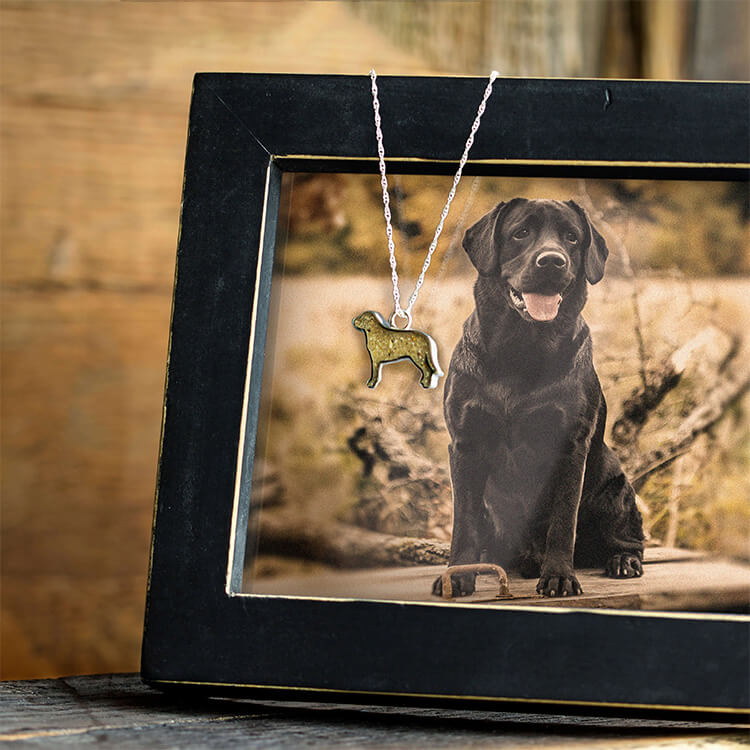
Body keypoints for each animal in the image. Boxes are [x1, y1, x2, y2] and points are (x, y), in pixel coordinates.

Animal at [434, 198, 648, 600]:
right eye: (520, 233)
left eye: (572, 237)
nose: (552, 261)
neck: (521, 351)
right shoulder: (465, 443)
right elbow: (463, 522)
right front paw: (458, 575)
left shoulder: (569, 445)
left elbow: (563, 522)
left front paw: (560, 577)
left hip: (615, 488)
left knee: (629, 539)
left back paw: (622, 561)